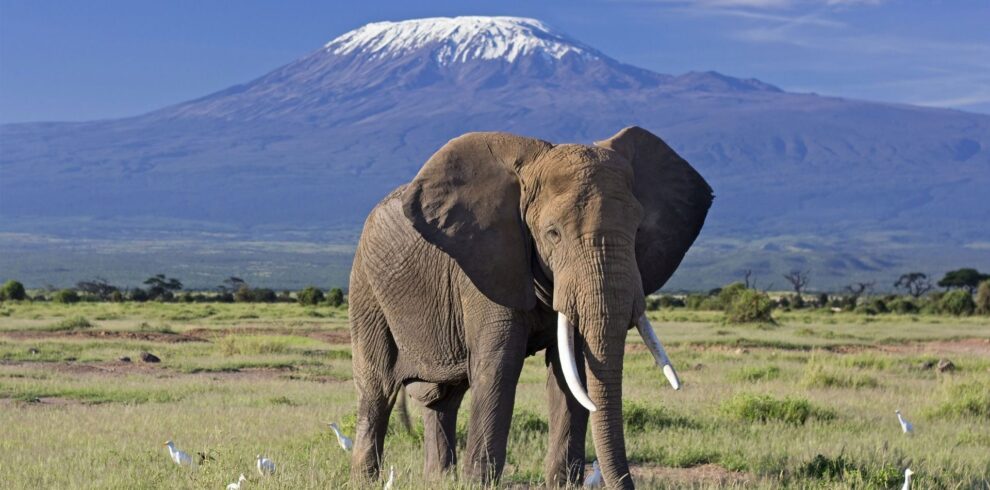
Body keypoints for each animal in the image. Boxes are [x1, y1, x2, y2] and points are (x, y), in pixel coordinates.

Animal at [348, 125, 712, 486]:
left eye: (637, 230)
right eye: (553, 233)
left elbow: (572, 370)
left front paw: (564, 485)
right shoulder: (486, 265)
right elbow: (500, 365)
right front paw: (479, 483)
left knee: (443, 398)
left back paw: (439, 480)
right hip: (365, 286)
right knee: (377, 388)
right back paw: (366, 479)